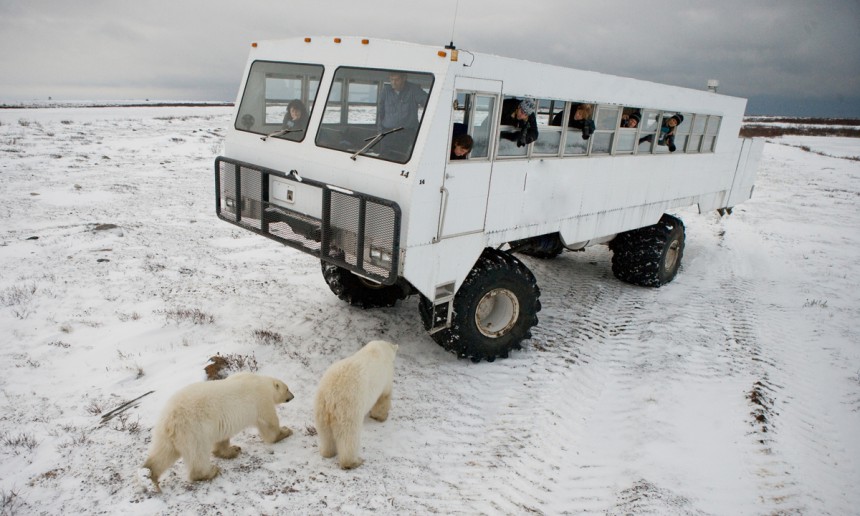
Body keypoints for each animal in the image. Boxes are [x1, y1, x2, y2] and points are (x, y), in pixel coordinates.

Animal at [143, 372, 294, 490]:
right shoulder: (261, 400)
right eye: (287, 388)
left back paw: (150, 474)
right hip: (194, 431)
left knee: (163, 453)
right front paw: (285, 431)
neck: (260, 381)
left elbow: (222, 439)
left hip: (166, 434)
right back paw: (210, 472)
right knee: (198, 454)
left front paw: (232, 450)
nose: (293, 396)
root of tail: (170, 420)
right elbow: (269, 424)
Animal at [314, 340, 398, 470]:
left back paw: (327, 452)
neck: (379, 350)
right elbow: (384, 398)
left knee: (325, 433)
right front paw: (381, 417)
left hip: (321, 406)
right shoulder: (386, 377)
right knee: (349, 435)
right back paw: (354, 462)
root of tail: (331, 394)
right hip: (349, 406)